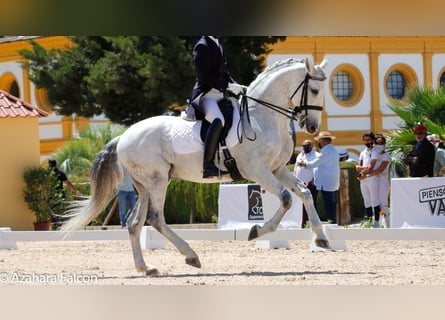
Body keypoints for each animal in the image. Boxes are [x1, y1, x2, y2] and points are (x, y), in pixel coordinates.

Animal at [64, 58, 332, 276]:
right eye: (314, 90)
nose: (311, 126)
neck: (261, 117)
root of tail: (123, 137)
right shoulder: (257, 170)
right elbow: (286, 199)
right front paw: (257, 230)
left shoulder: (277, 169)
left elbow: (305, 193)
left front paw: (321, 239)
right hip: (158, 180)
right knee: (155, 218)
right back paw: (190, 255)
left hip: (144, 185)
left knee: (134, 223)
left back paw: (146, 267)